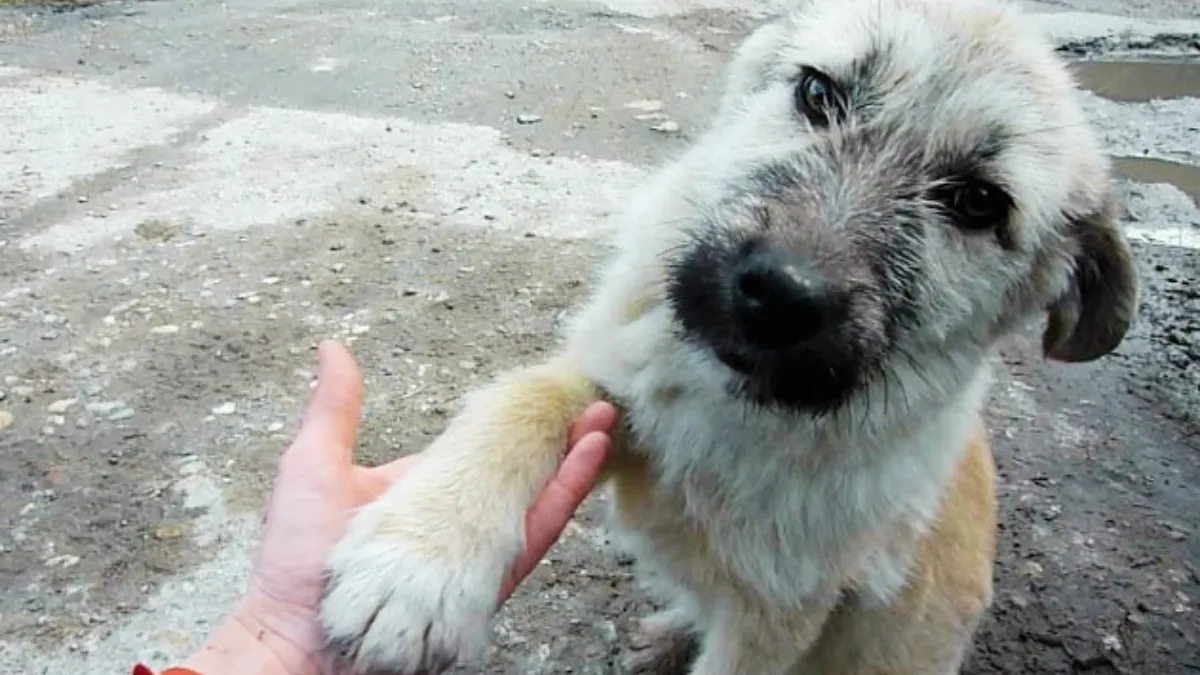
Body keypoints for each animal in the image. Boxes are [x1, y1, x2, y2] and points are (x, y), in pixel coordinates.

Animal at [316, 0, 1132, 667]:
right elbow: (521, 398)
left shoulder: (778, 617)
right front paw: (417, 562)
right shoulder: (621, 381)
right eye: (818, 93)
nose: (778, 294)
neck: (737, 410)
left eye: (976, 203)